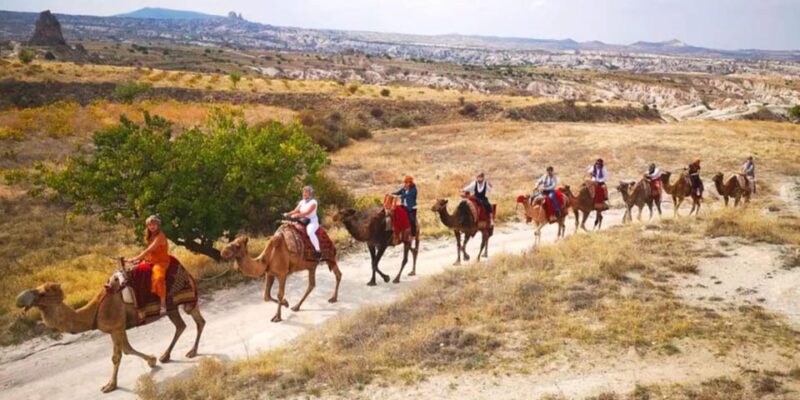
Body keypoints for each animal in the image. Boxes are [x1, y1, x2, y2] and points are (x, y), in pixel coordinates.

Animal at [15, 277, 204, 393]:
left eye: (42, 293)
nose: (20, 300)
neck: (95, 311)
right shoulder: (119, 328)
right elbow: (127, 349)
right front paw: (152, 360)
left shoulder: (115, 328)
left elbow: (116, 357)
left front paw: (110, 386)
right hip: (173, 307)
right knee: (183, 325)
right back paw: (167, 355)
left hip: (185, 300)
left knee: (196, 321)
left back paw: (191, 352)